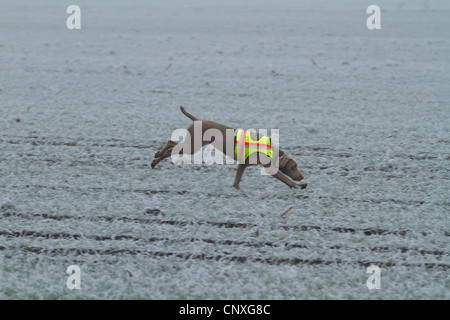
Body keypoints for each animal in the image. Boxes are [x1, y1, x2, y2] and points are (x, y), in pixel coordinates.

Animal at [151, 106, 306, 189]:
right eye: (293, 167)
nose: (302, 177)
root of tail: (197, 120)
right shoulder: (269, 168)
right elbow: (285, 179)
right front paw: (298, 186)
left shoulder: (243, 164)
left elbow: (237, 179)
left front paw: (237, 190)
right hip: (192, 146)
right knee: (171, 146)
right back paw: (156, 159)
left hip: (191, 144)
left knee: (171, 143)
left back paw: (156, 156)